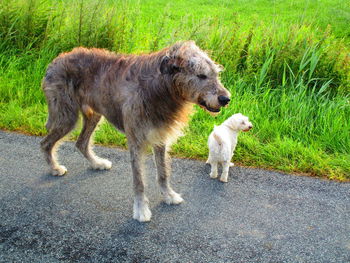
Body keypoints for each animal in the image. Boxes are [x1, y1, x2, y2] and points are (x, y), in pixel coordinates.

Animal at [41, 40, 231, 223]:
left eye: (215, 74)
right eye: (201, 75)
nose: (226, 99)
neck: (160, 88)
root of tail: (55, 61)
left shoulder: (160, 138)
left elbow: (163, 173)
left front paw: (168, 195)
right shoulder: (136, 141)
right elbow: (139, 181)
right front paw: (141, 210)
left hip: (93, 115)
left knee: (81, 143)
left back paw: (97, 163)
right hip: (66, 116)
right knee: (45, 143)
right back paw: (55, 167)